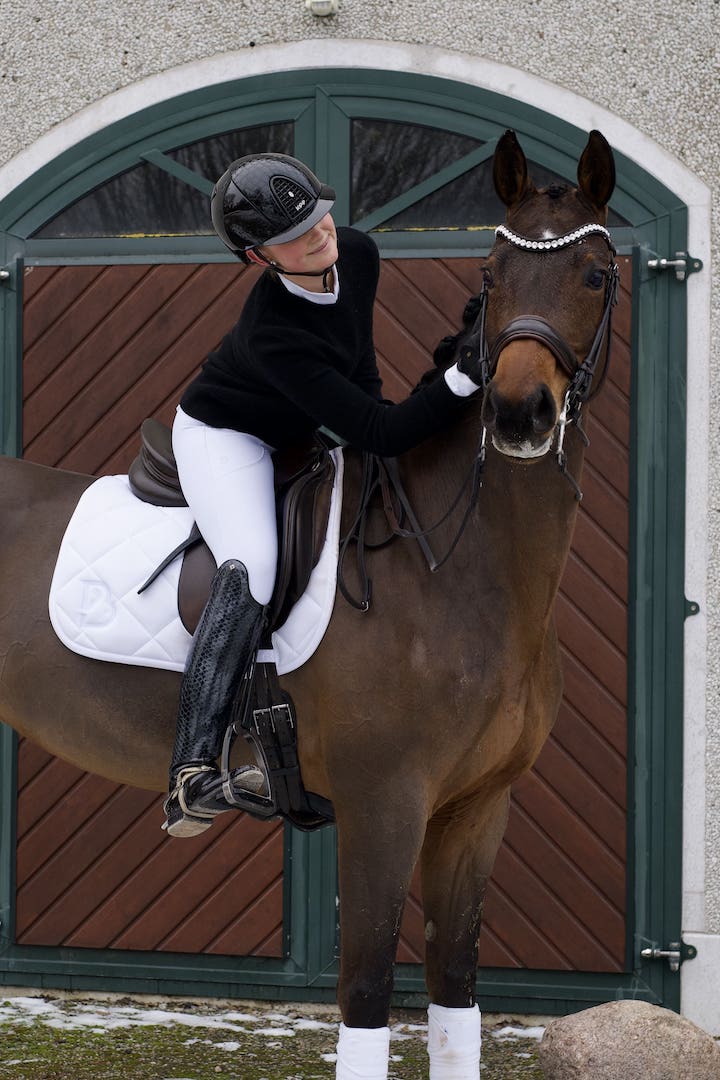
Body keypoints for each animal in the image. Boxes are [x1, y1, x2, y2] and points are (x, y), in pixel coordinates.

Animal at [0, 128, 621, 1080]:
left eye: (594, 274)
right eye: (490, 274)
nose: (519, 413)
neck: (462, 574)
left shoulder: (476, 810)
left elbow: (456, 995)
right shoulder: (383, 804)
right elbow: (366, 998)